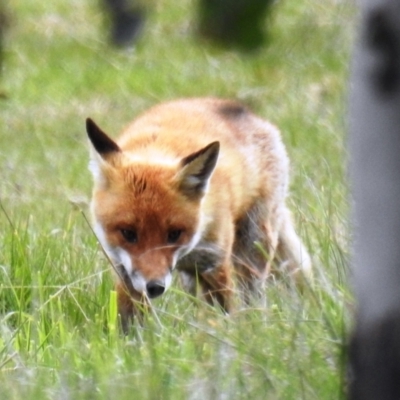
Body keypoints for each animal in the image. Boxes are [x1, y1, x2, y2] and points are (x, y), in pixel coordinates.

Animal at [86, 97, 312, 332]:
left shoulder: (214, 261)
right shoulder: (124, 269)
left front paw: (227, 335)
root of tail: (243, 110)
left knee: (253, 294)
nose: (155, 287)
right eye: (128, 233)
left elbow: (225, 311)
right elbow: (128, 319)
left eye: (174, 234)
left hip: (253, 246)